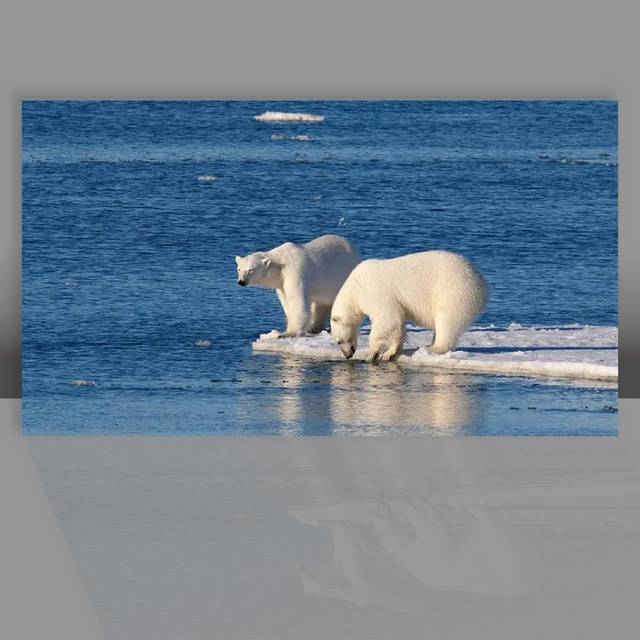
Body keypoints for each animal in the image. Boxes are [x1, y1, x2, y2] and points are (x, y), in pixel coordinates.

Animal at [332, 249, 488, 360]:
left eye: (338, 341)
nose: (347, 355)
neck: (355, 288)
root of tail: (481, 283)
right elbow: (397, 324)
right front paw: (390, 353)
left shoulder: (375, 293)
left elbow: (387, 320)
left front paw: (372, 353)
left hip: (453, 292)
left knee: (447, 320)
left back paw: (433, 347)